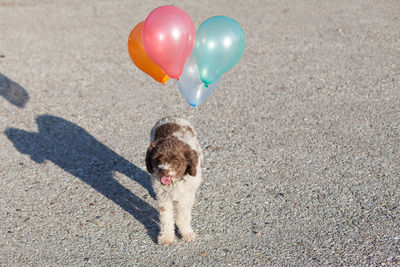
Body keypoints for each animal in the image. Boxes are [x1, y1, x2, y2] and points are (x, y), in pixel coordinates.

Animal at [145, 116, 203, 246]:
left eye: (175, 160)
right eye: (158, 158)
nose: (164, 171)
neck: (175, 183)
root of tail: (170, 117)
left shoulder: (185, 197)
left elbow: (183, 217)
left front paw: (186, 233)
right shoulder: (164, 197)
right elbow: (166, 217)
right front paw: (166, 237)